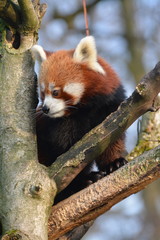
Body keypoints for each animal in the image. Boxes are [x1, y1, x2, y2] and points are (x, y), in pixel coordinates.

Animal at [31, 36, 126, 202]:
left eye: (55, 92)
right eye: (42, 93)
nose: (45, 109)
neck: (84, 109)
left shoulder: (110, 108)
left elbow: (113, 140)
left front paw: (114, 163)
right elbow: (68, 158)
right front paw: (82, 181)